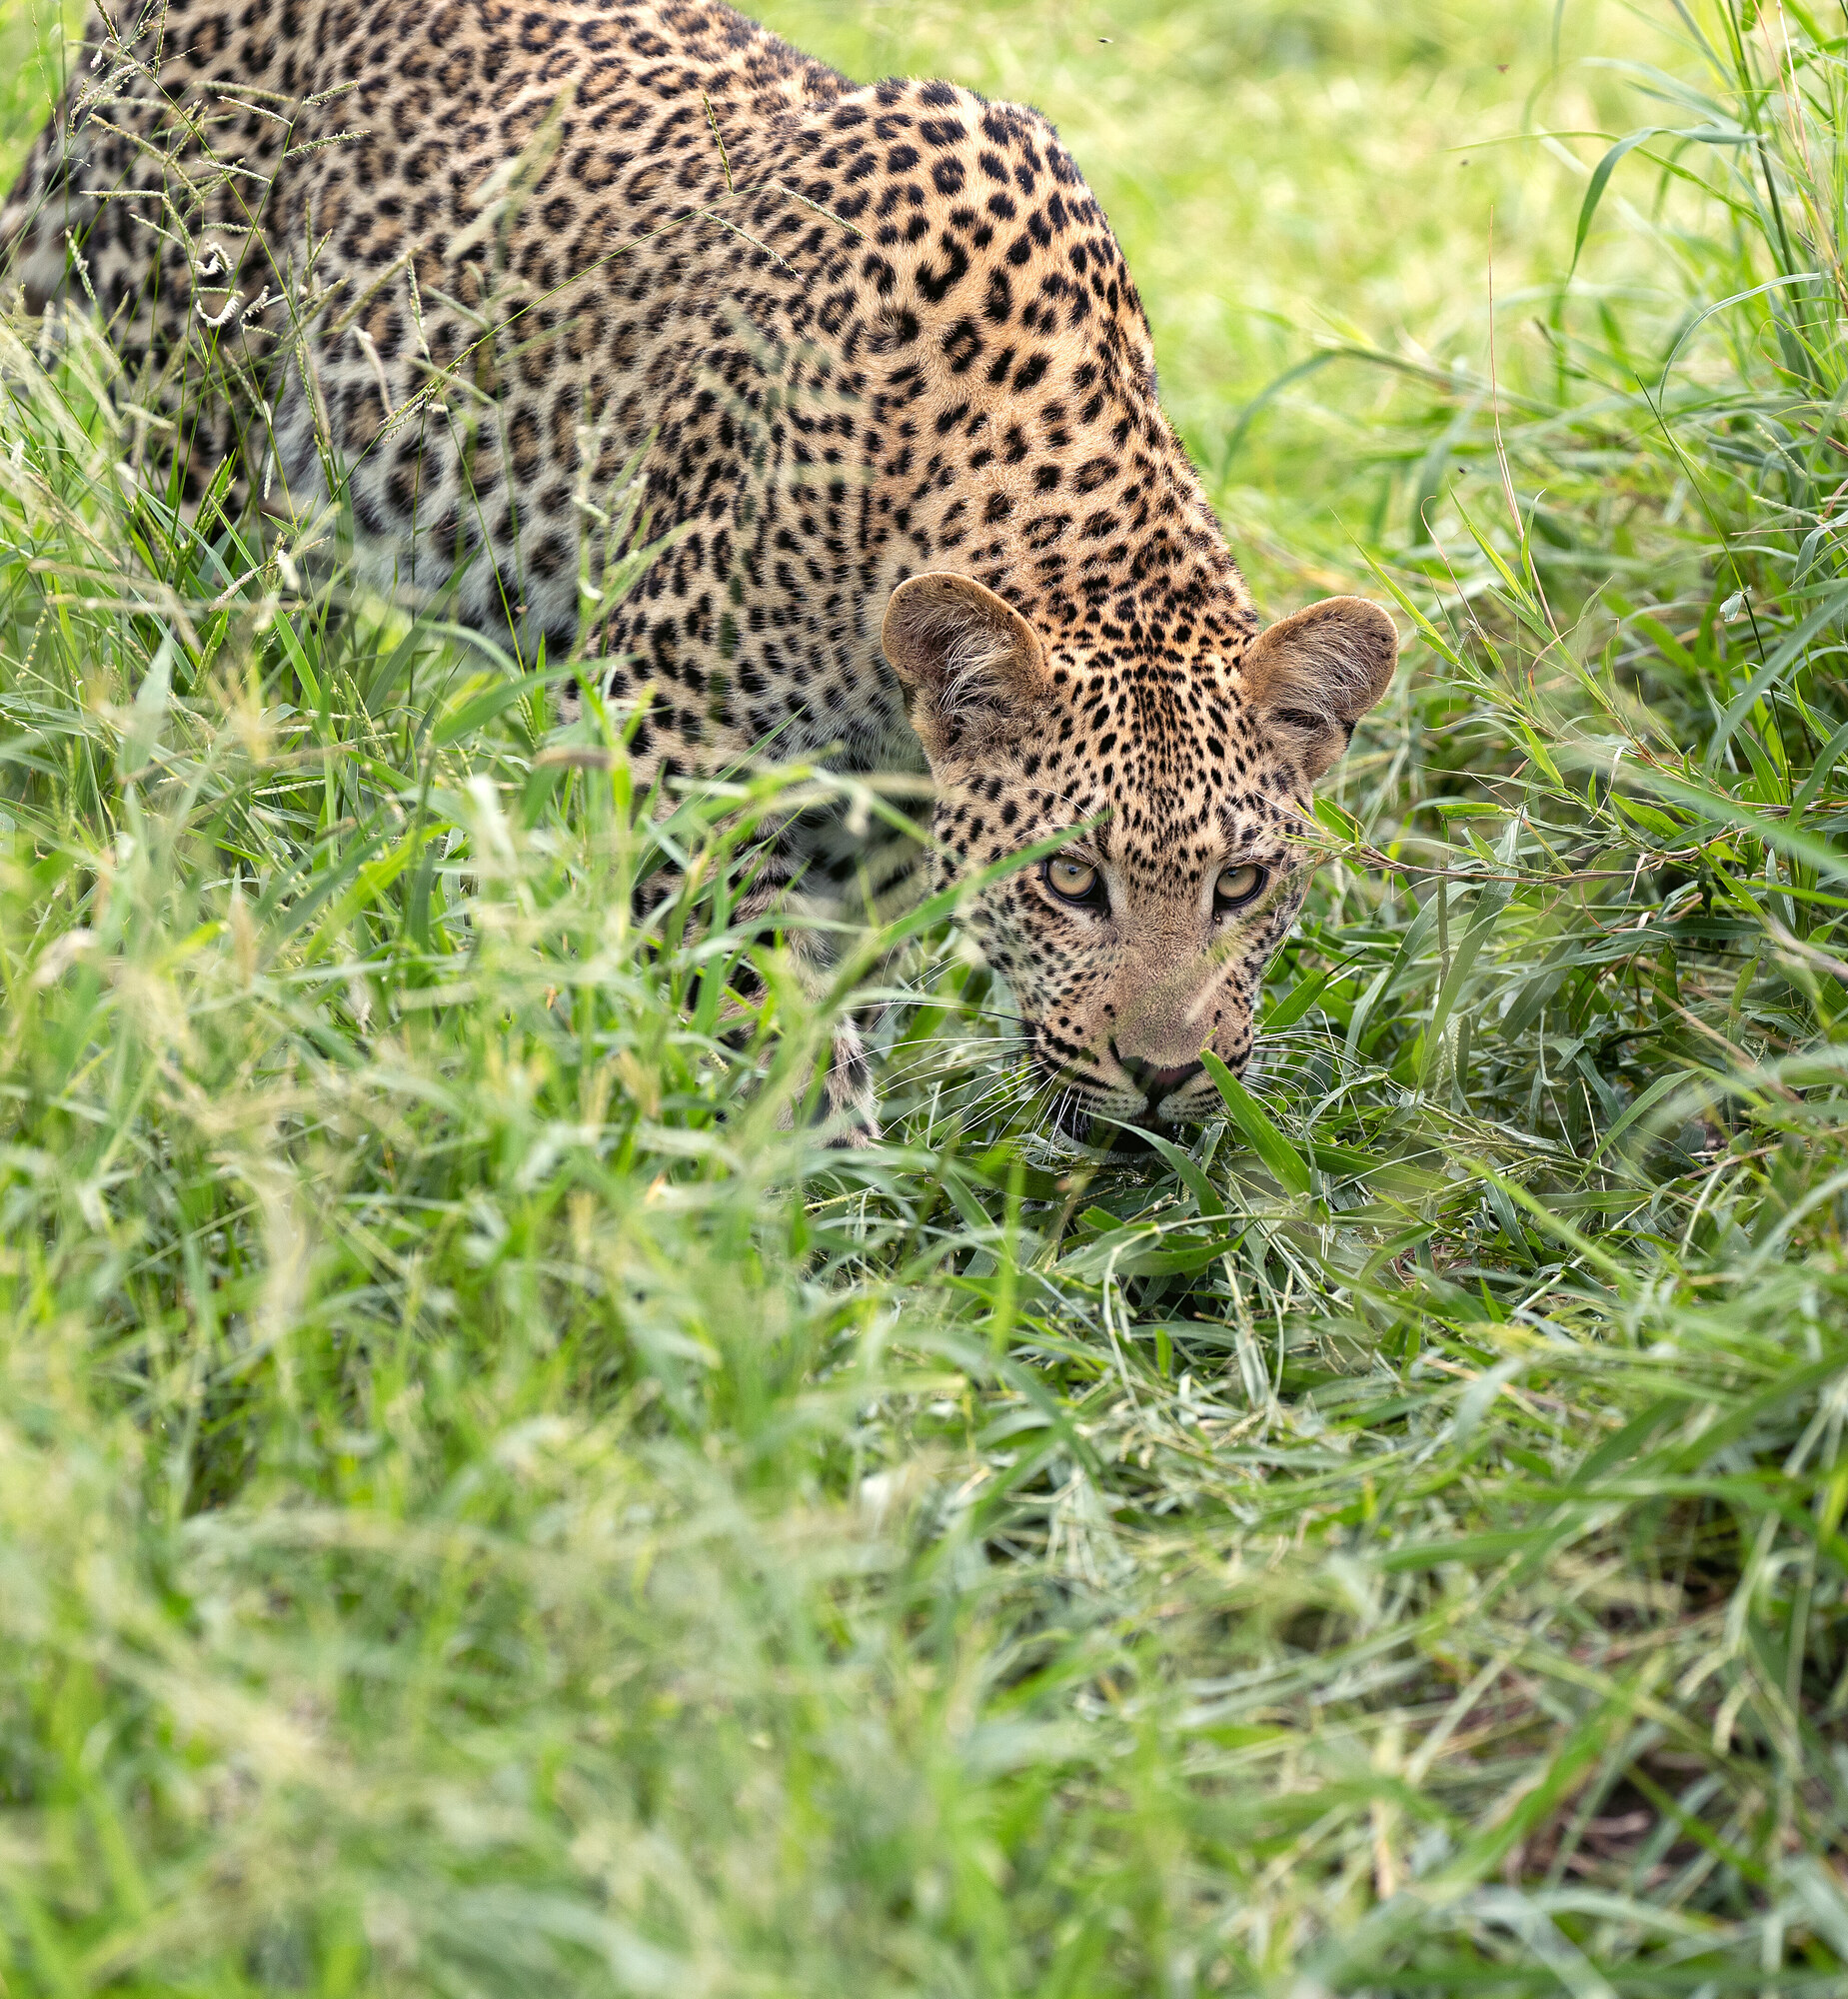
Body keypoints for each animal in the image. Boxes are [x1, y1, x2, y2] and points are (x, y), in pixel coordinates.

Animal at [2, 0, 1398, 1140]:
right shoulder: (673, 727)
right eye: (1069, 878)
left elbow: (841, 980)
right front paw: (790, 1180)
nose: (1166, 1077)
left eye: (1240, 883)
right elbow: (745, 976)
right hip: (199, 438)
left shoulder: (877, 810)